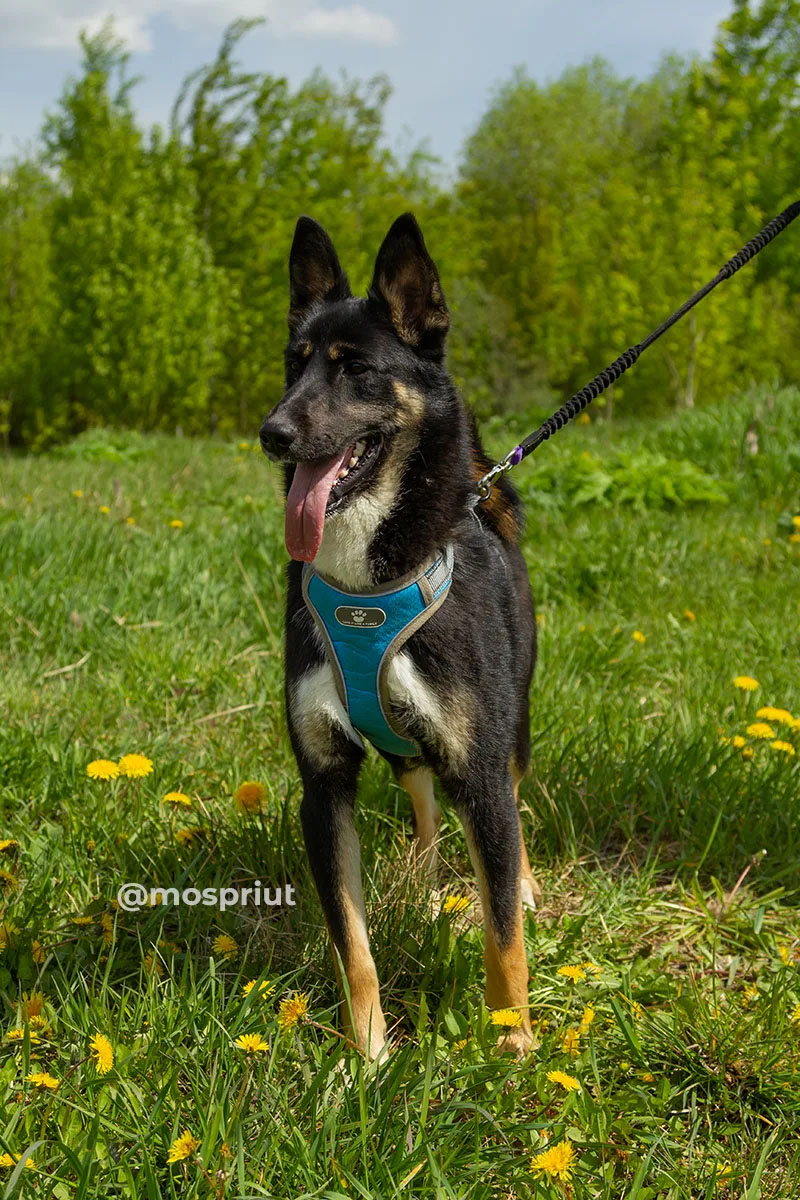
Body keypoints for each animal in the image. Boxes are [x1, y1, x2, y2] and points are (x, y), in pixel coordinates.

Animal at [260, 216, 542, 1060]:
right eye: (293, 363)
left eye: (356, 371)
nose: (273, 433)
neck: (367, 582)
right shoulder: (323, 786)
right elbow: (350, 941)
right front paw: (367, 1054)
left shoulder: (479, 768)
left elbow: (502, 931)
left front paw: (512, 1046)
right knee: (419, 790)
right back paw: (420, 875)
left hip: (513, 718)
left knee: (513, 805)